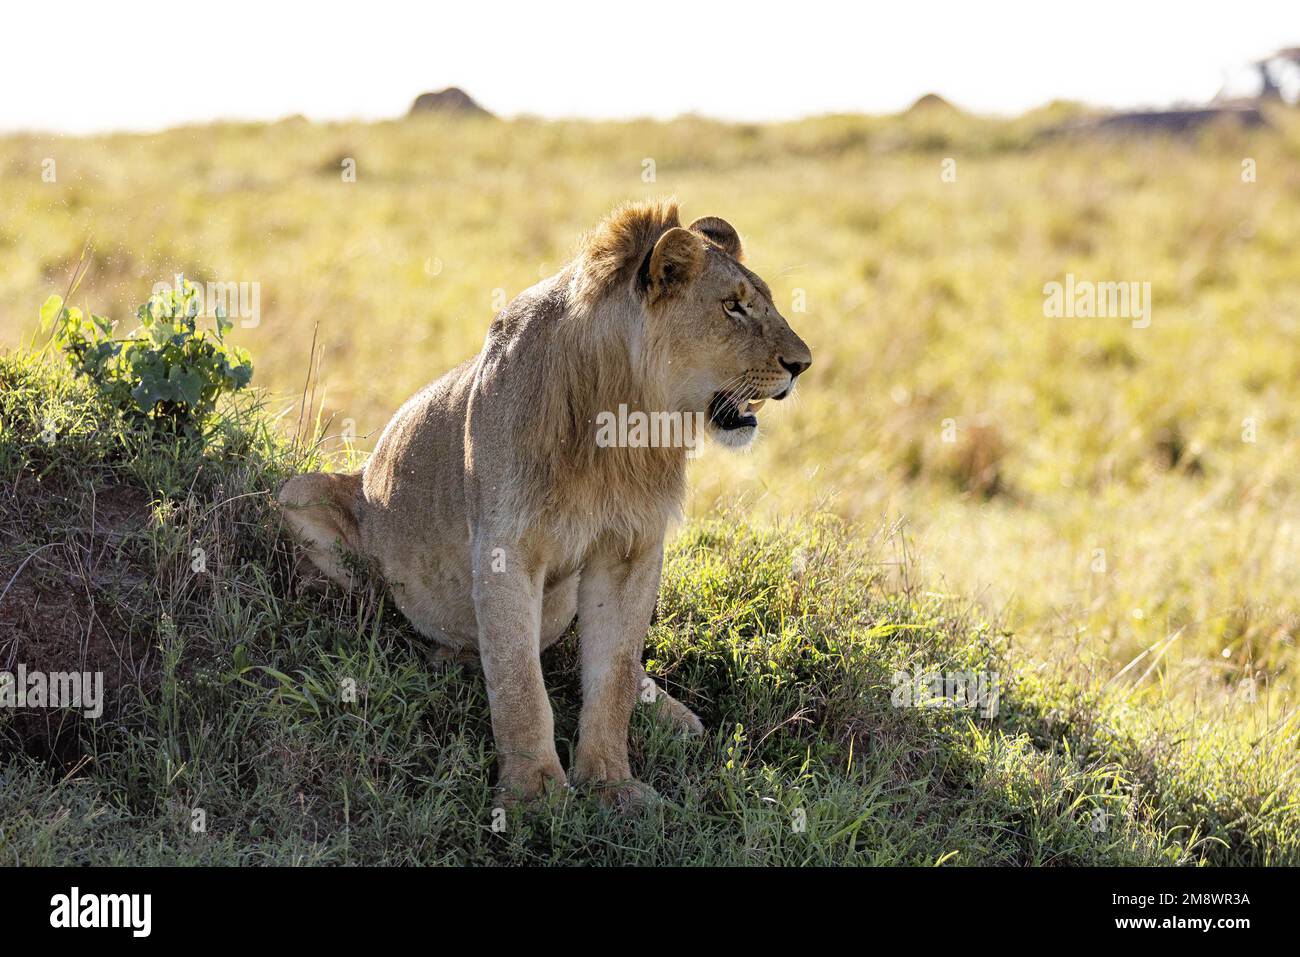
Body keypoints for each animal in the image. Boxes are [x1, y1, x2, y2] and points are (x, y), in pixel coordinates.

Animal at [278, 199, 811, 805]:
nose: (803, 364)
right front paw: (534, 794)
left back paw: (676, 715)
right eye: (732, 307)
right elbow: (518, 681)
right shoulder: (505, 549)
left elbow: (614, 672)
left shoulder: (632, 549)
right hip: (297, 495)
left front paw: (610, 785)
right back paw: (446, 656)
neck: (623, 423)